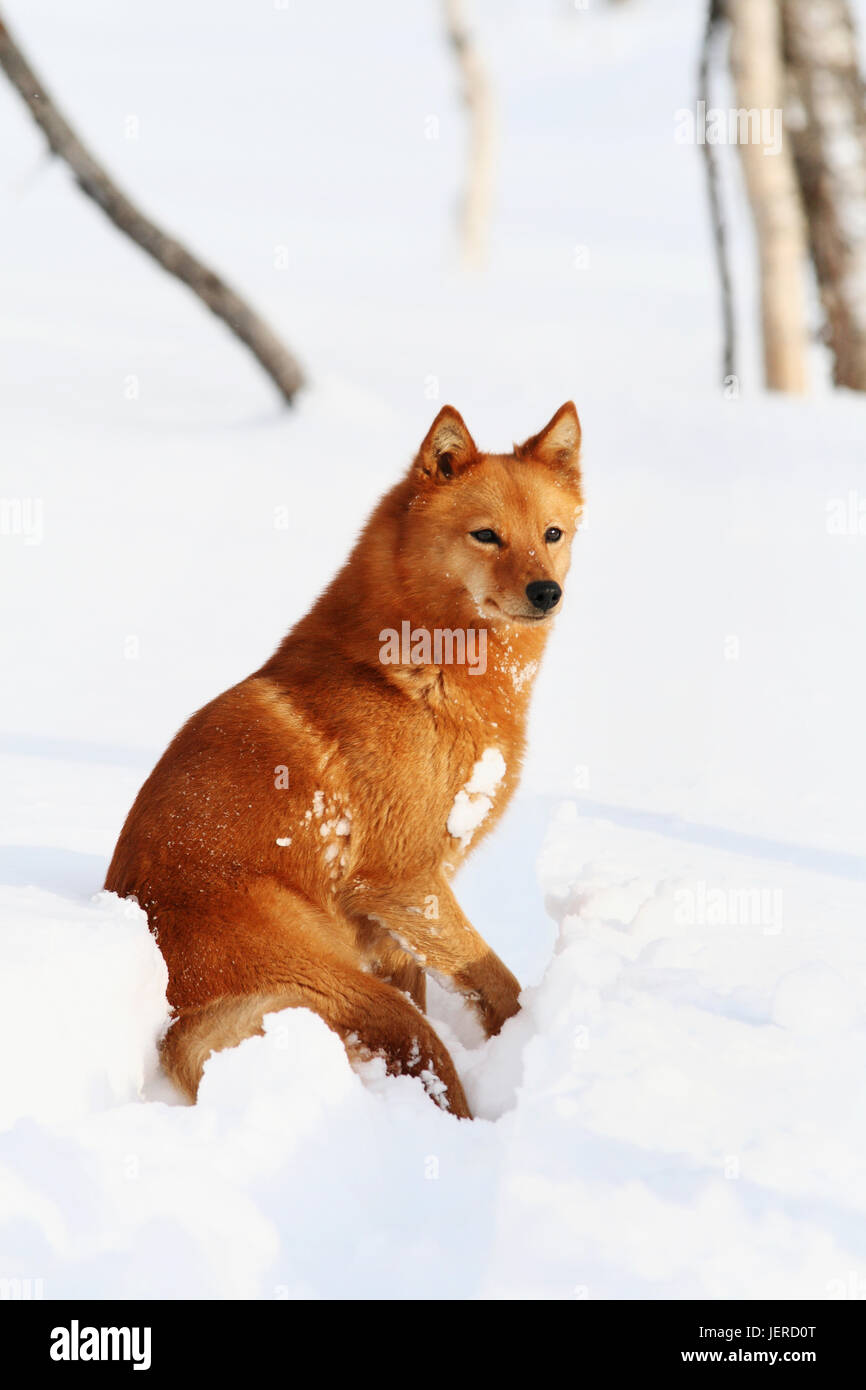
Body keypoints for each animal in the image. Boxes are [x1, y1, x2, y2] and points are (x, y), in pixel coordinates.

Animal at [107, 403, 583, 1117]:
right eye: (486, 536)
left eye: (551, 533)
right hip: (357, 994)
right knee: (428, 1061)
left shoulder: (392, 919)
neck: (422, 668)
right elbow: (495, 979)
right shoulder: (403, 881)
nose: (546, 591)